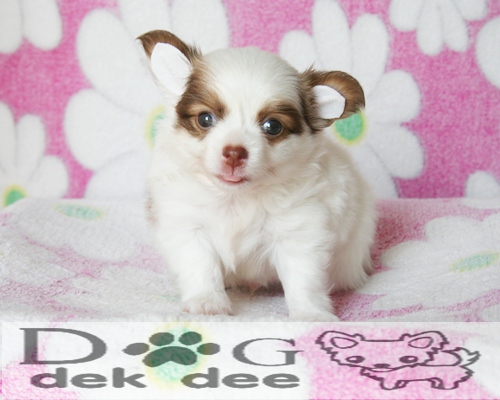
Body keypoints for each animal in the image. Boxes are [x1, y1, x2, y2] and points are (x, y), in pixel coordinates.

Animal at [138, 30, 376, 321]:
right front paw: (208, 302)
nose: (234, 152)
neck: (235, 199)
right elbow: (200, 266)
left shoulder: (298, 232)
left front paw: (310, 314)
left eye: (272, 126)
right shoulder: (187, 226)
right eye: (205, 119)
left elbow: (303, 279)